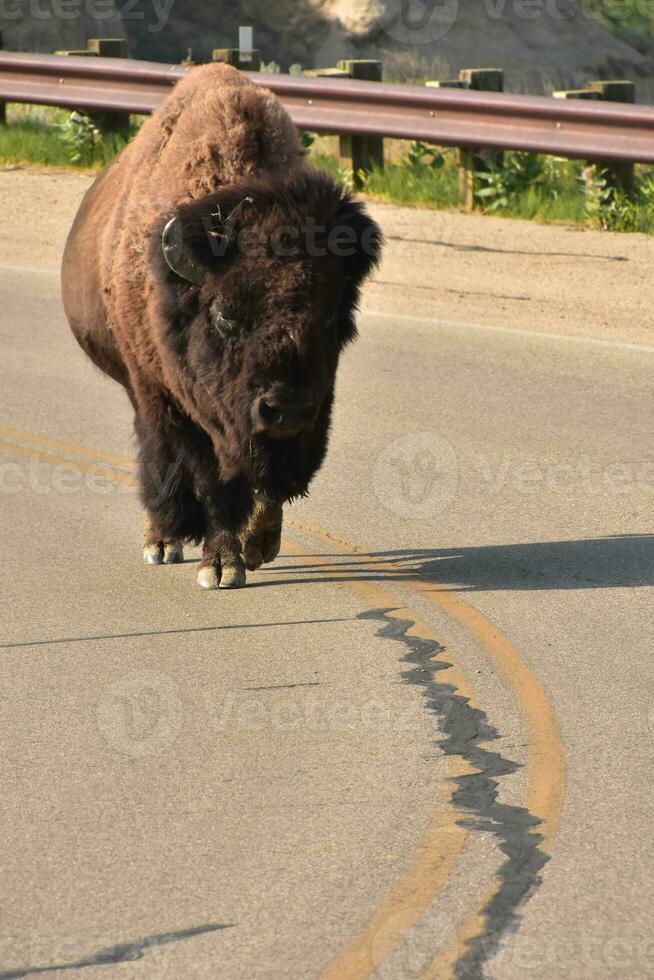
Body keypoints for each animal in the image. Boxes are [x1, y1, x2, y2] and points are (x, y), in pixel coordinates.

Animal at [62, 63, 382, 588]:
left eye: (331, 318)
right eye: (225, 315)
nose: (285, 407)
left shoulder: (303, 420)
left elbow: (270, 478)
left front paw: (256, 545)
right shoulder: (181, 404)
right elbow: (213, 479)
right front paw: (221, 565)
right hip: (142, 385)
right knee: (156, 452)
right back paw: (162, 541)